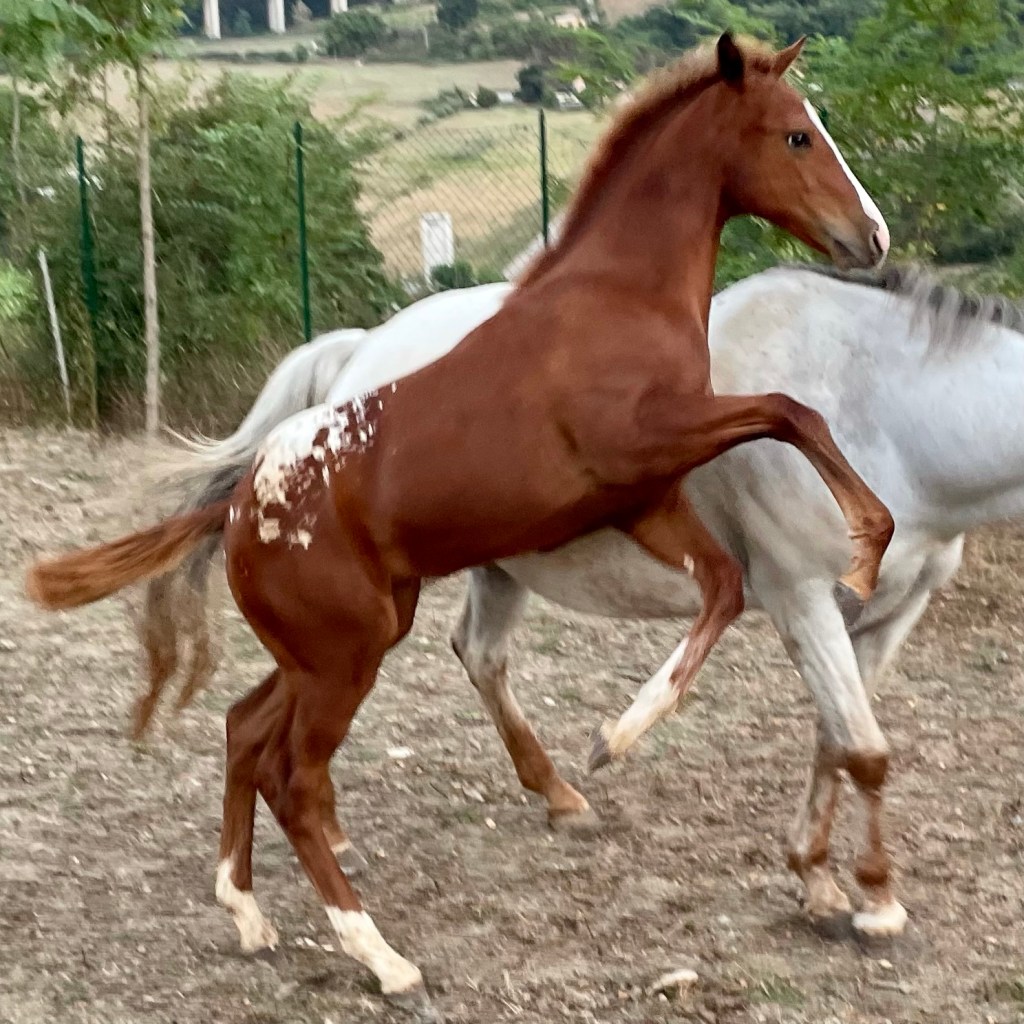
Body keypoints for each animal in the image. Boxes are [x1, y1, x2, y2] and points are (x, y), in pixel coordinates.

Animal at [25, 36, 892, 1019]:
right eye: (796, 135)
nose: (871, 237)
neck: (616, 298)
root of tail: (237, 508)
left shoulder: (646, 498)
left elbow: (726, 579)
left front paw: (615, 737)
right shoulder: (653, 442)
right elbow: (789, 412)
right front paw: (865, 549)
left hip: (341, 644)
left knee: (244, 729)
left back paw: (246, 912)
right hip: (344, 660)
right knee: (296, 780)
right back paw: (382, 956)